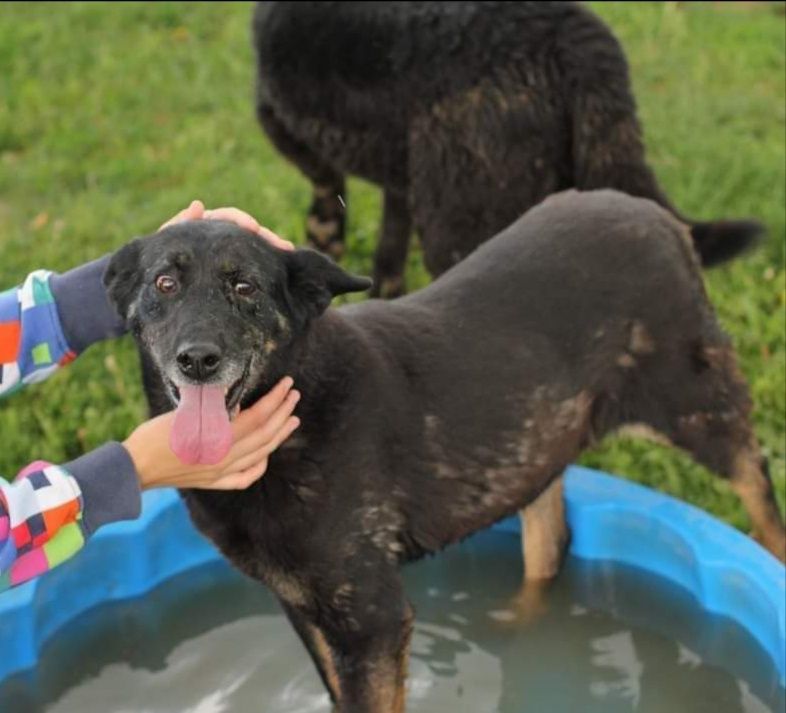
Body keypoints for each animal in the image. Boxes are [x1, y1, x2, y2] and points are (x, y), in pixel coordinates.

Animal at [105, 189, 784, 712]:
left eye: (244, 287)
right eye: (165, 282)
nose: (197, 360)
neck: (296, 405)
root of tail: (656, 215)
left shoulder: (372, 619)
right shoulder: (306, 609)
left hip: (696, 406)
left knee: (758, 487)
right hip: (531, 438)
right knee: (551, 538)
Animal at [251, 0, 760, 294]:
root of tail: (576, 43)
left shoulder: (281, 121)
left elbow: (326, 195)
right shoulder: (405, 173)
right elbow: (389, 248)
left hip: (462, 221)